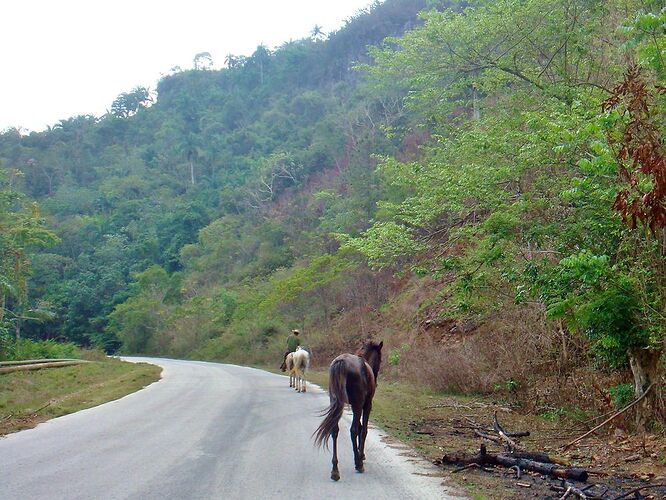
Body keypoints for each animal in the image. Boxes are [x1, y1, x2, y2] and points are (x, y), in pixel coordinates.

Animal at [312, 340, 382, 480]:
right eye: (380, 359)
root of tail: (342, 362)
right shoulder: (366, 405)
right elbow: (363, 430)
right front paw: (361, 456)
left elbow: (360, 427)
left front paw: (360, 454)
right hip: (358, 404)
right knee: (353, 430)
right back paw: (358, 464)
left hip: (337, 401)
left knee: (334, 430)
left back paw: (335, 470)